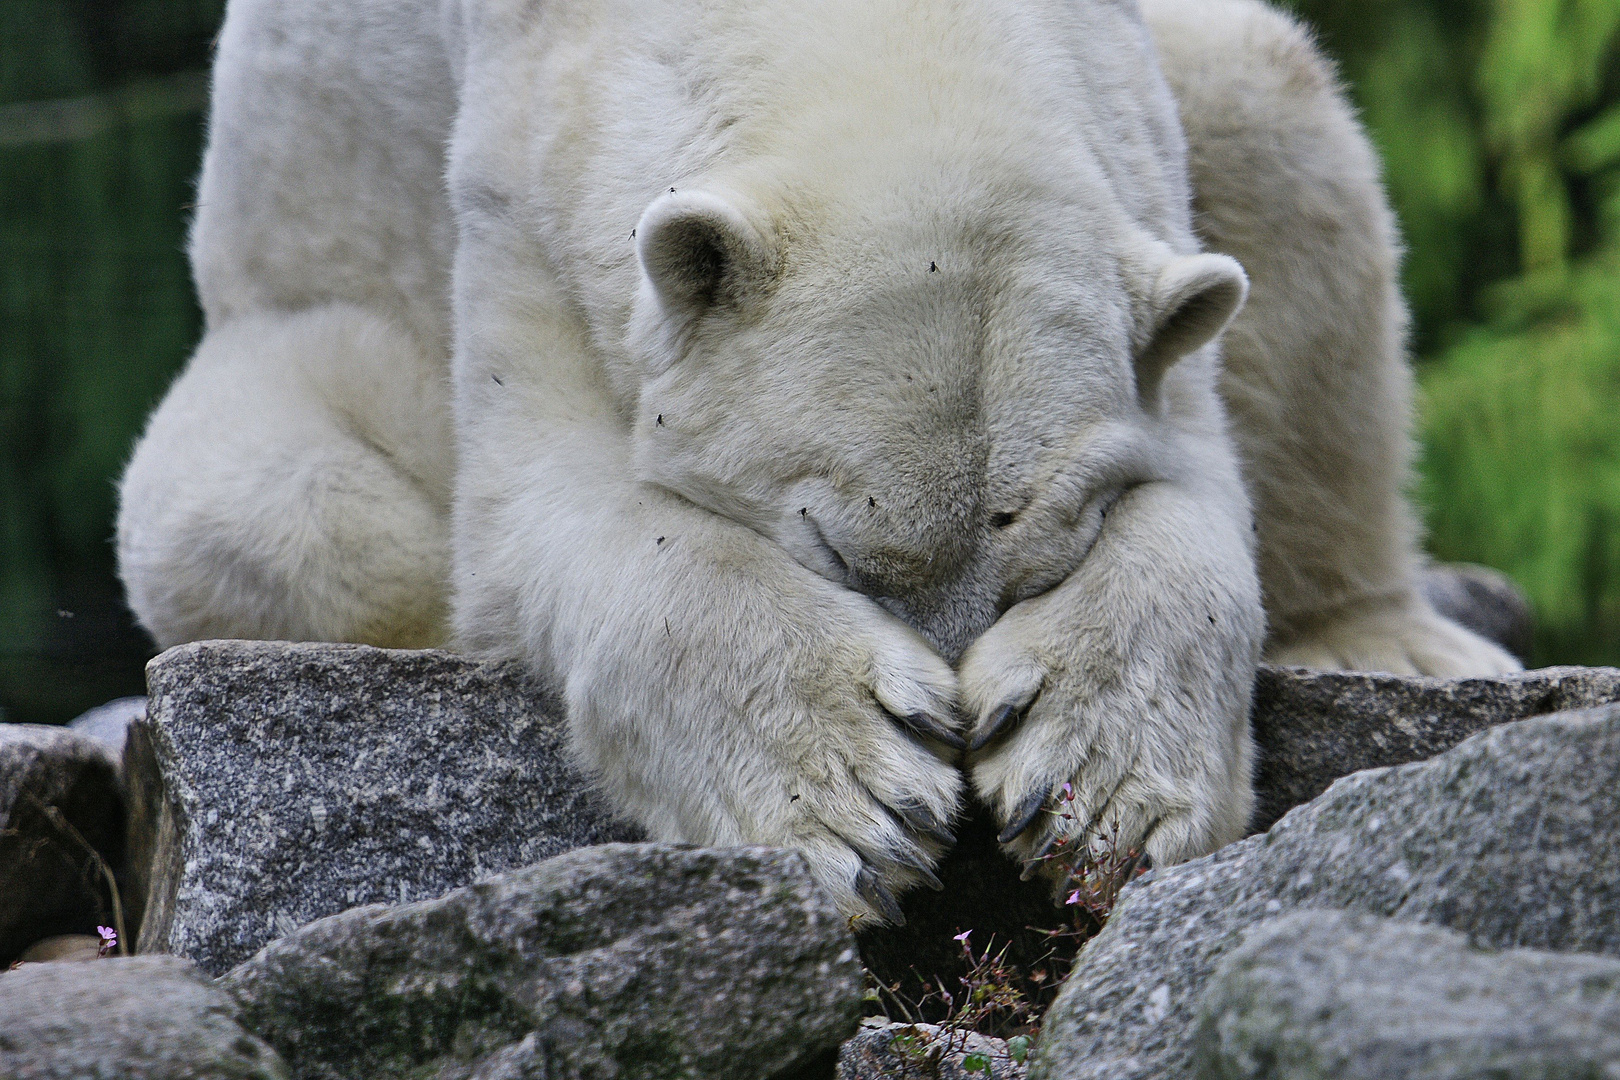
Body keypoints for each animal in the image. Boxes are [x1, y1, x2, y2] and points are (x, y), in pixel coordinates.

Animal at [117, 0, 1516, 919]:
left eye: (1033, 564)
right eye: (843, 549)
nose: (958, 723)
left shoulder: (1137, 163)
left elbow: (1192, 471)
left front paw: (1098, 789)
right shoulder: (525, 165)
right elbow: (540, 504)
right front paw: (858, 802)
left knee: (1271, 99)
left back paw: (1391, 634)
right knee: (263, 515)